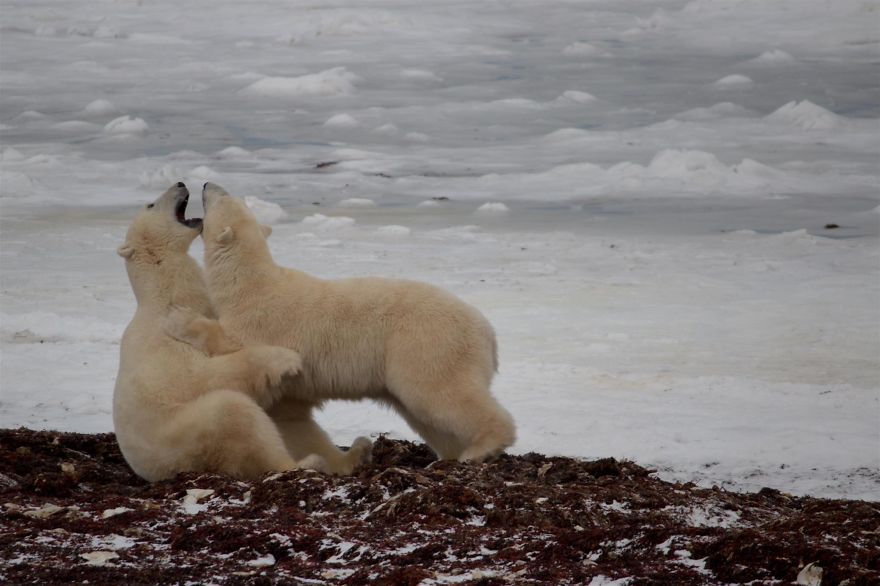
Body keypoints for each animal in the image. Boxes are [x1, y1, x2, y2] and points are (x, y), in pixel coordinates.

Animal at [113, 183, 332, 481]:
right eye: (151, 204)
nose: (180, 183)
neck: (165, 300)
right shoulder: (166, 349)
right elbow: (205, 376)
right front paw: (286, 359)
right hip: (189, 433)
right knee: (234, 414)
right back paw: (307, 461)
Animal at [191, 182, 516, 463]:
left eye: (221, 197)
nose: (206, 184)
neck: (250, 283)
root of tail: (487, 332)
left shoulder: (259, 321)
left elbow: (238, 352)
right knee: (425, 413)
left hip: (427, 344)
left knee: (441, 394)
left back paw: (480, 448)